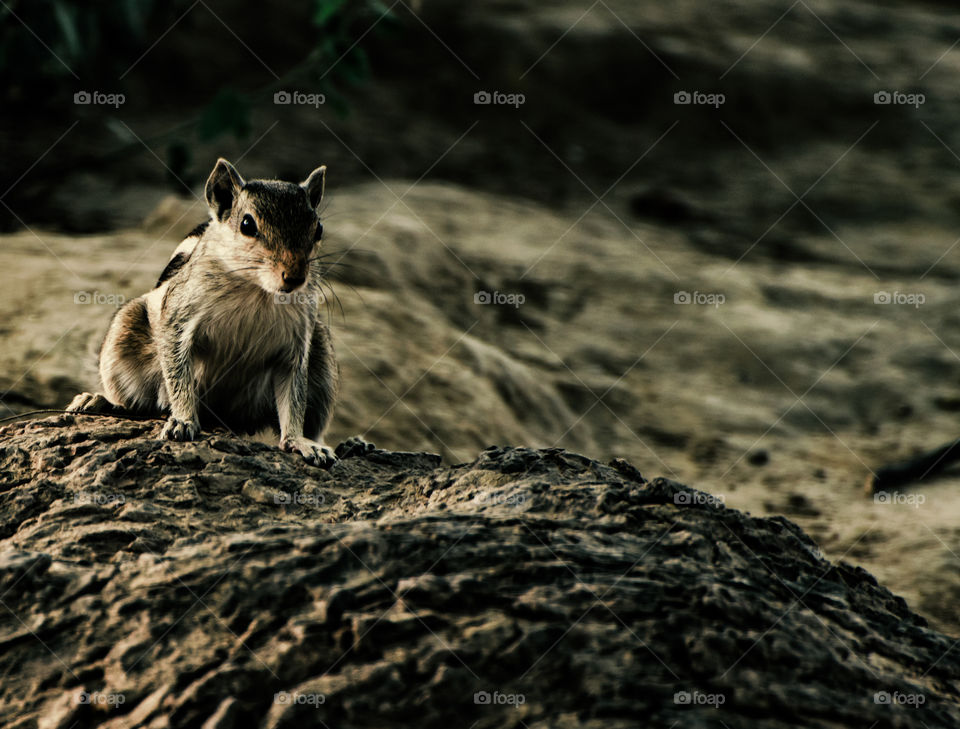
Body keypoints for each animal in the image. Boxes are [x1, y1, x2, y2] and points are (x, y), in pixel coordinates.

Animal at [67, 158, 343, 467]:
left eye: (318, 229)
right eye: (247, 224)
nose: (295, 277)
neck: (257, 290)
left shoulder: (296, 345)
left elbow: (294, 398)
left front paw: (298, 441)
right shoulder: (177, 321)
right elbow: (178, 375)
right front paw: (183, 421)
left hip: (321, 356)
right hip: (122, 338)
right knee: (138, 404)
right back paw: (100, 401)